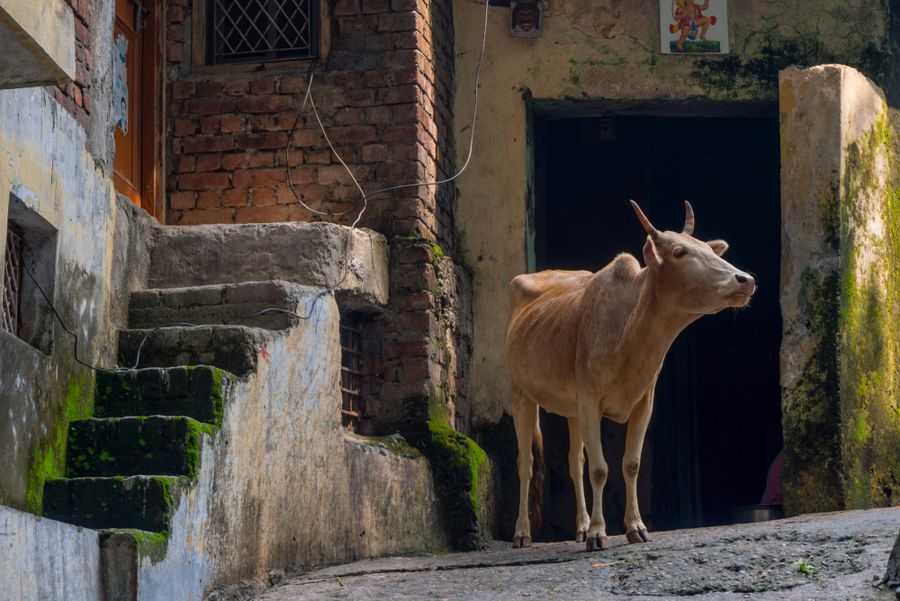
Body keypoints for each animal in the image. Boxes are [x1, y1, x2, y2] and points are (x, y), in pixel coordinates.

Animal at [506, 200, 756, 550]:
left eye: (708, 249)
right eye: (680, 252)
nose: (745, 279)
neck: (628, 329)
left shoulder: (642, 402)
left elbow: (630, 464)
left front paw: (634, 527)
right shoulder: (590, 400)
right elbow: (600, 469)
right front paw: (599, 533)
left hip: (571, 409)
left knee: (574, 461)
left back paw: (581, 526)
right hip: (521, 396)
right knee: (526, 464)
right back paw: (523, 533)